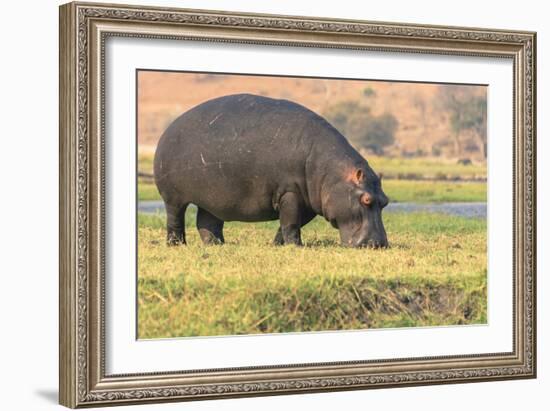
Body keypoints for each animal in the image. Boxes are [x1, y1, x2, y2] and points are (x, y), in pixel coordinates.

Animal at [153, 93, 390, 248]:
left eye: (385, 201)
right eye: (366, 199)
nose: (378, 244)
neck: (332, 173)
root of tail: (169, 128)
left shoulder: (308, 202)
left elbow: (290, 223)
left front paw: (278, 245)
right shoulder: (290, 192)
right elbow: (291, 222)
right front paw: (296, 247)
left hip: (212, 198)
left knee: (207, 221)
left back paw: (216, 244)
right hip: (173, 197)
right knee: (175, 219)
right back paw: (177, 245)